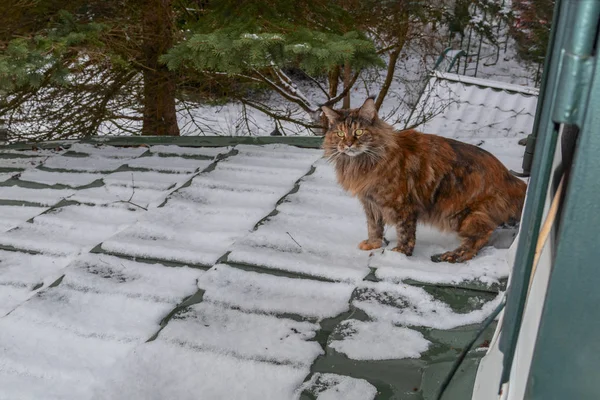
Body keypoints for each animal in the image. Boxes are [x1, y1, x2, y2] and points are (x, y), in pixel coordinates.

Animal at [324, 97, 524, 262]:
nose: (348, 144)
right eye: (340, 134)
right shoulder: (370, 203)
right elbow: (374, 227)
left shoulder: (402, 205)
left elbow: (405, 234)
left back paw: (453, 256)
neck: (361, 163)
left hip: (461, 214)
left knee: (481, 236)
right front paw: (373, 244)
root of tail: (513, 179)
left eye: (358, 131)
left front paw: (399, 255)